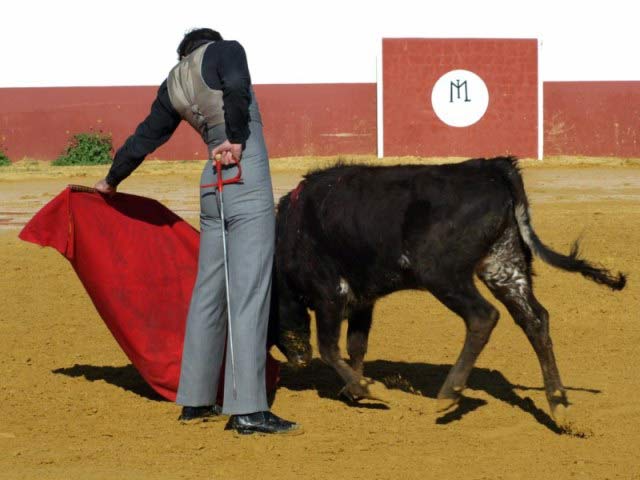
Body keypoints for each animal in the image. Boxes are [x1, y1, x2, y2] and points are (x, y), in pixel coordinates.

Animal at [268, 158, 628, 424]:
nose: (298, 361)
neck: (289, 235)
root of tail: (494, 168)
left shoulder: (329, 293)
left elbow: (330, 348)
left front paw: (369, 389)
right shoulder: (363, 299)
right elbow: (356, 344)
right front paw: (354, 389)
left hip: (441, 273)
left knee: (484, 317)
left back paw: (448, 395)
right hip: (503, 264)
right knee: (535, 320)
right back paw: (559, 405)